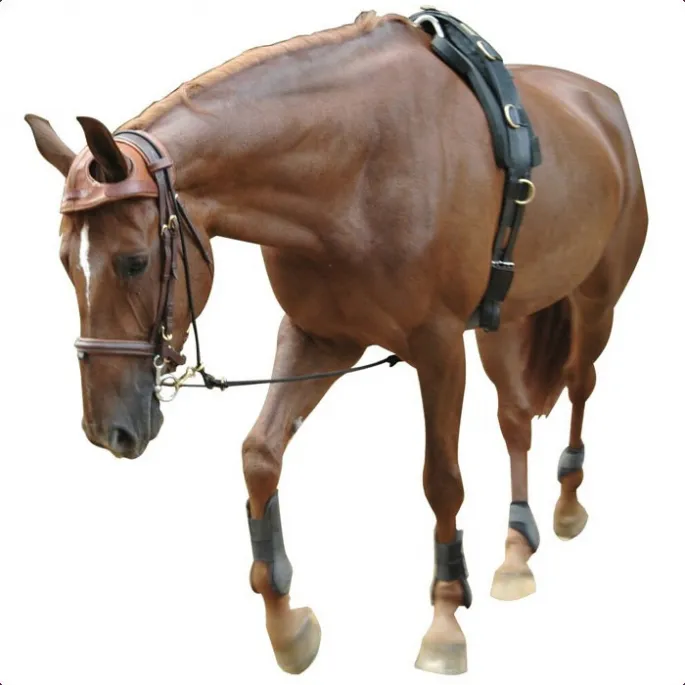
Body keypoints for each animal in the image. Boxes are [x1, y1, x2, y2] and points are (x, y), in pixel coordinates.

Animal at [25, 10, 647, 676]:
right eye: (65, 263)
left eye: (135, 262)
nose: (107, 430)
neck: (356, 166)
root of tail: (603, 107)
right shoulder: (320, 337)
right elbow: (260, 455)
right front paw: (285, 624)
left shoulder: (439, 349)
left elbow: (442, 481)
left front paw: (445, 620)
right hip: (503, 324)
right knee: (515, 418)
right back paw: (514, 552)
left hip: (595, 303)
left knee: (579, 384)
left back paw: (566, 507)